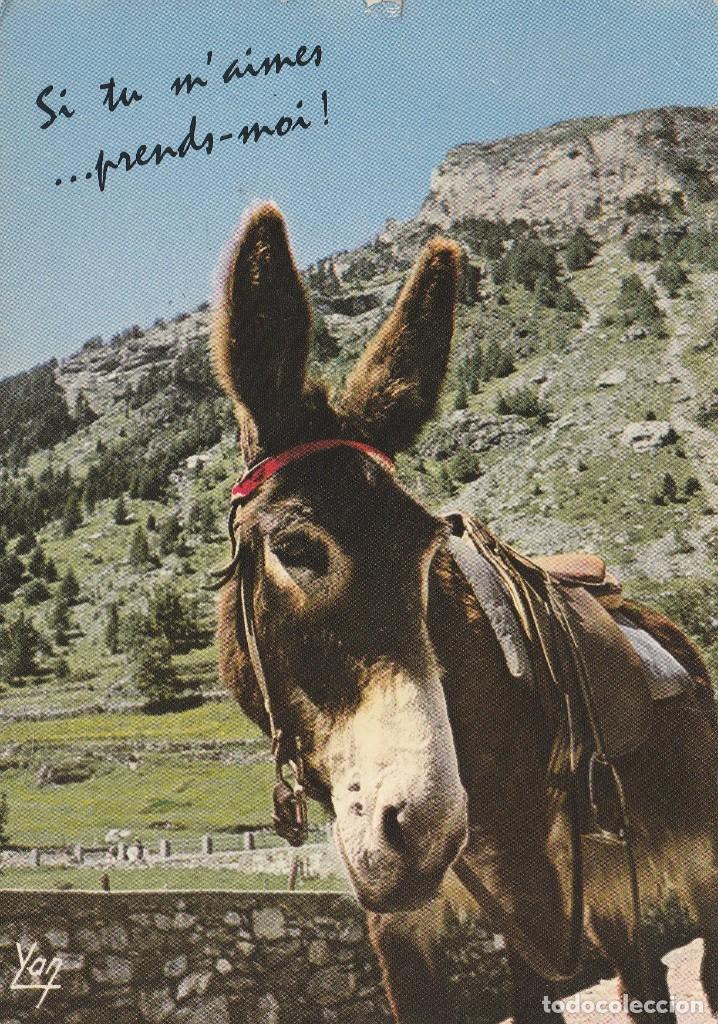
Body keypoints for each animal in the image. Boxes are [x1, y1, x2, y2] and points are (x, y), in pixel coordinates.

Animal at [209, 202, 718, 1024]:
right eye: (296, 548)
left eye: (426, 554)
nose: (424, 829)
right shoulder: (400, 922)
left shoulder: (535, 889)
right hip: (617, 883)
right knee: (643, 976)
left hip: (694, 851)